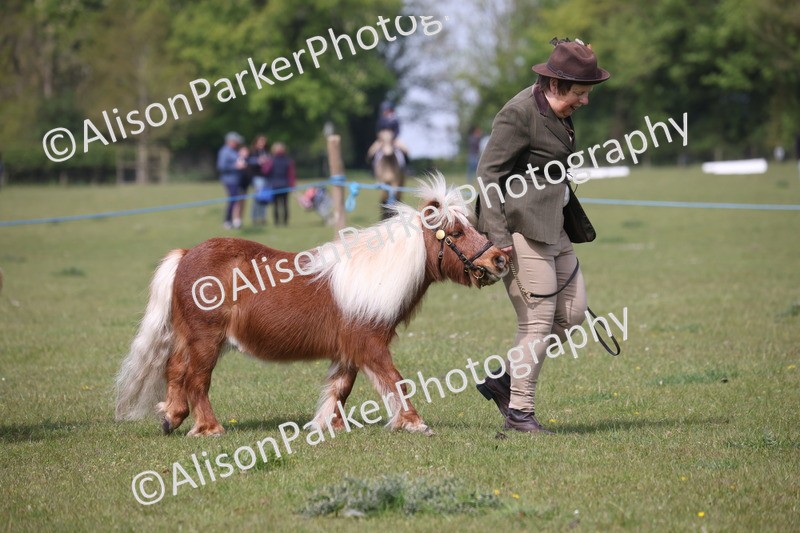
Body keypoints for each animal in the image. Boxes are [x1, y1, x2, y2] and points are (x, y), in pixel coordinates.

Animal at [114, 174, 508, 437]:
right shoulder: (369, 344)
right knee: (196, 379)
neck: (373, 275)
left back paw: (172, 417)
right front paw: (414, 423)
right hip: (205, 340)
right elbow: (395, 381)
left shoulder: (348, 350)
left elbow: (340, 388)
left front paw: (326, 425)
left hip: (188, 337)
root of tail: (185, 255)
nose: (500, 261)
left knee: (175, 371)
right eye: (455, 233)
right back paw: (210, 428)